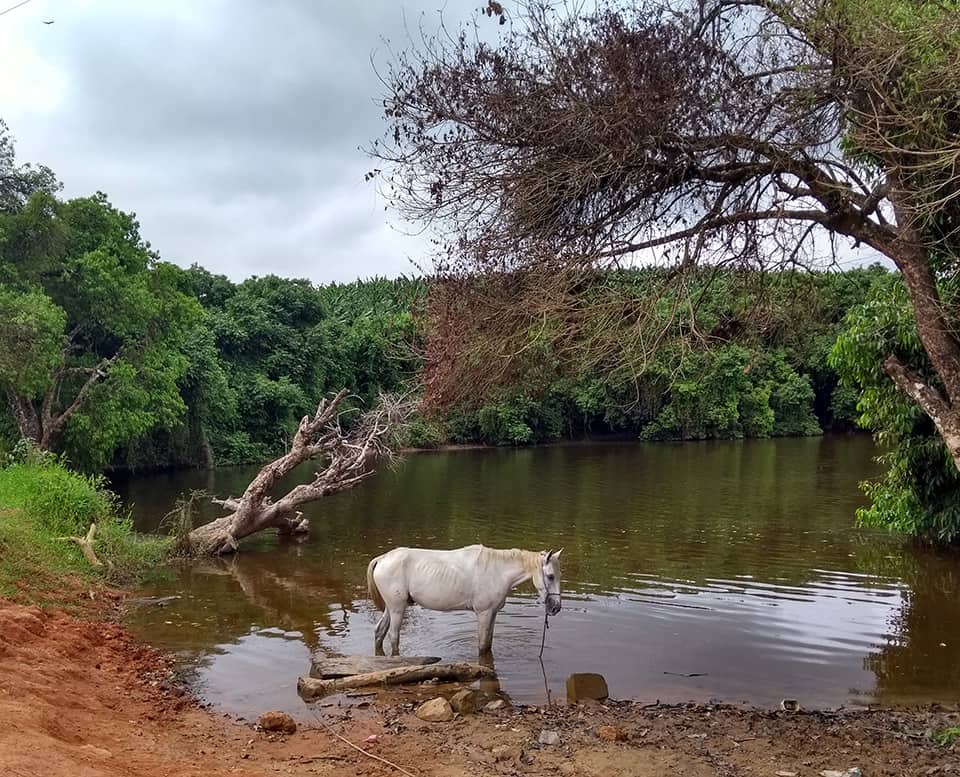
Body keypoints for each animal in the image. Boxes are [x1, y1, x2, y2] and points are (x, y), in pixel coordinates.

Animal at [366, 544, 564, 656]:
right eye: (551, 576)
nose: (556, 608)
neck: (497, 571)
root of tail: (382, 559)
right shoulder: (484, 614)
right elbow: (483, 646)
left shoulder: (492, 614)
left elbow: (488, 643)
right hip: (397, 609)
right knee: (394, 637)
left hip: (392, 608)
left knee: (379, 632)